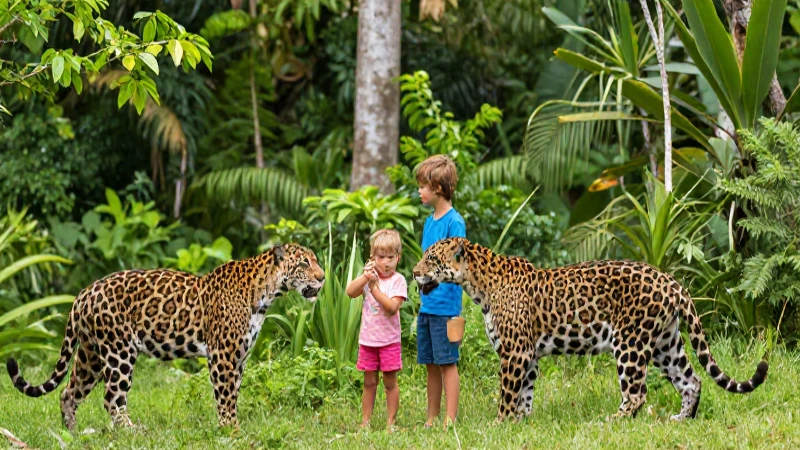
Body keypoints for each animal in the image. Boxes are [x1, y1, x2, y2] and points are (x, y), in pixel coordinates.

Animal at [6, 243, 325, 431]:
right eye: (303, 264)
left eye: (315, 261)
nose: (323, 278)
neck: (266, 292)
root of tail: (84, 292)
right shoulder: (222, 355)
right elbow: (225, 396)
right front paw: (231, 430)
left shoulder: (240, 356)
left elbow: (233, 393)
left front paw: (231, 426)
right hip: (119, 352)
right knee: (112, 398)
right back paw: (131, 432)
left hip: (90, 355)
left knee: (69, 392)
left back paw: (71, 432)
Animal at [412, 237, 769, 422]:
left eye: (431, 259)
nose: (415, 272)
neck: (478, 283)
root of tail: (672, 281)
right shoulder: (529, 354)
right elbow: (525, 392)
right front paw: (521, 423)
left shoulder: (515, 352)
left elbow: (508, 392)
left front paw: (500, 423)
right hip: (666, 344)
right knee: (692, 380)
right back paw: (682, 419)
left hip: (630, 343)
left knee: (637, 392)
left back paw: (613, 421)